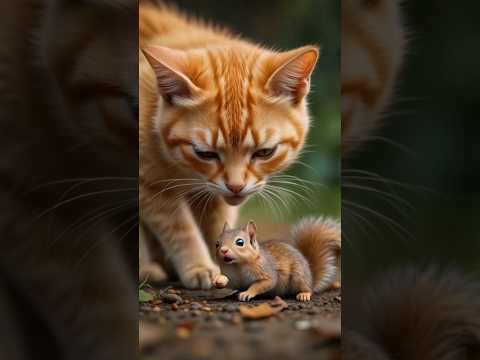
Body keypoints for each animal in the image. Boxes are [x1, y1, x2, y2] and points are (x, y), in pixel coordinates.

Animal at [139, 3, 318, 290]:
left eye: (264, 152)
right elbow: (179, 228)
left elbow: (218, 221)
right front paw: (199, 266)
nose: (236, 186)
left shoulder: (215, 196)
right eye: (205, 154)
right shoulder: (149, 184)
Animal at [214, 218, 342, 302]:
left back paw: (304, 294)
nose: (223, 250)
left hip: (299, 276)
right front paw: (218, 280)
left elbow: (261, 284)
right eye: (217, 243)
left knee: (308, 289)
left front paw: (247, 293)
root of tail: (311, 277)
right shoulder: (234, 279)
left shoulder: (267, 273)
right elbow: (228, 281)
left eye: (240, 242)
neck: (238, 265)